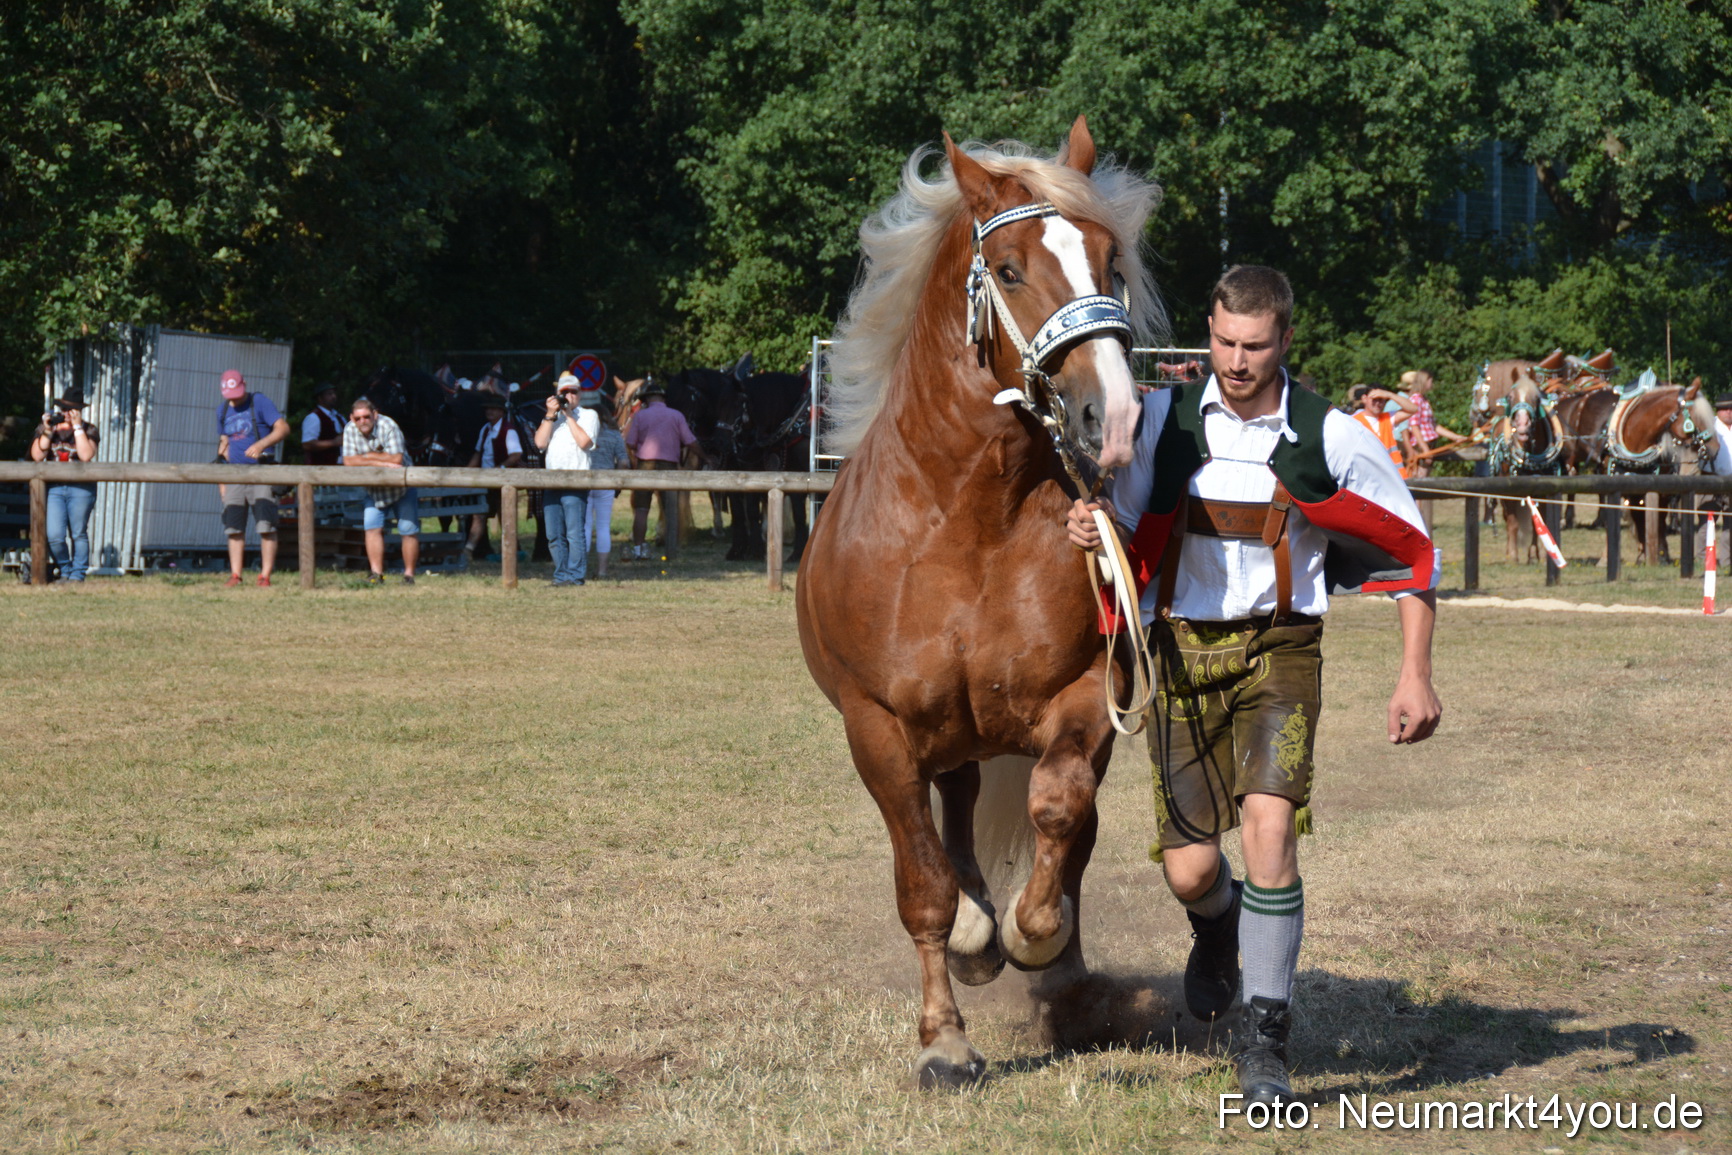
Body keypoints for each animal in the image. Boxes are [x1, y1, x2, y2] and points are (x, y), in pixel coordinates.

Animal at [796, 117, 1160, 1085]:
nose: (1112, 415)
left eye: (1110, 259)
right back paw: (971, 938)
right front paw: (945, 1038)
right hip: (941, 734)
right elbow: (922, 883)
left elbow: (1061, 816)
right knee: (950, 823)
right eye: (1009, 269)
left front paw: (1040, 943)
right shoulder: (878, 728)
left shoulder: (1087, 698)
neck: (966, 524)